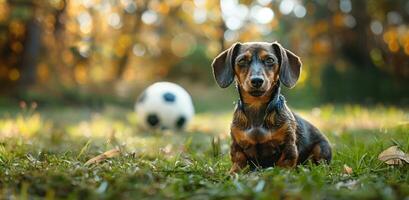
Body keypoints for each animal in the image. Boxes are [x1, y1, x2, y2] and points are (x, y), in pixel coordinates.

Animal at [212, 41, 330, 173]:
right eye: (242, 60)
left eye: (270, 60)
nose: (257, 81)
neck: (257, 108)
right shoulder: (236, 146)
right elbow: (238, 161)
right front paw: (232, 173)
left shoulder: (289, 145)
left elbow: (285, 162)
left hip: (321, 148)